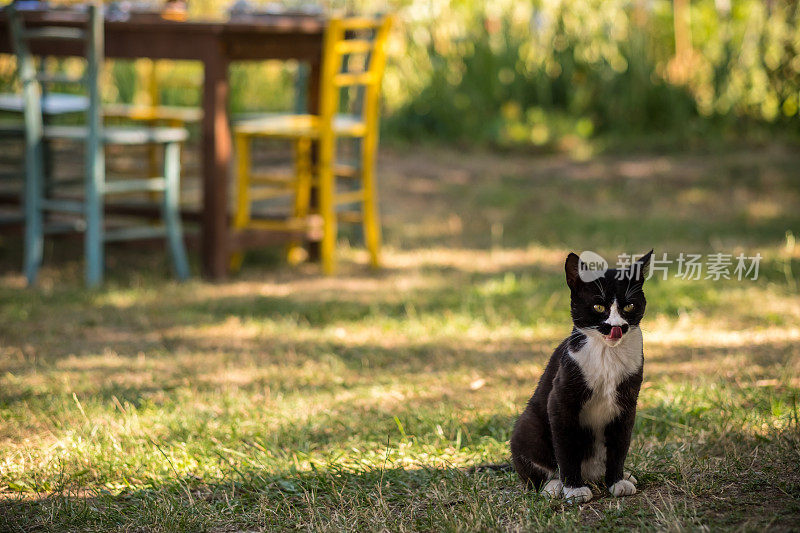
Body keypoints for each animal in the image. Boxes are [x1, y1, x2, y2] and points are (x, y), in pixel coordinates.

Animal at [510, 251, 652, 500]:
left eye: (629, 306)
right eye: (598, 306)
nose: (617, 327)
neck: (607, 357)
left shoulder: (627, 404)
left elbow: (620, 445)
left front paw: (616, 481)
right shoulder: (560, 400)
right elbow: (566, 447)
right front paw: (574, 488)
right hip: (527, 427)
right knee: (532, 473)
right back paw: (553, 485)